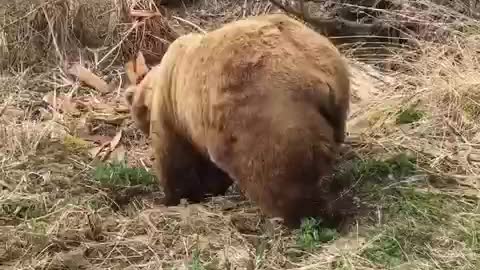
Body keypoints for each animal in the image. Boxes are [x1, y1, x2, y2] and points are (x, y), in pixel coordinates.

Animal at [124, 13, 352, 228]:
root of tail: (320, 78)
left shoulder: (174, 113)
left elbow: (176, 162)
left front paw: (174, 198)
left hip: (268, 117)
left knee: (276, 177)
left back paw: (308, 216)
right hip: (333, 109)